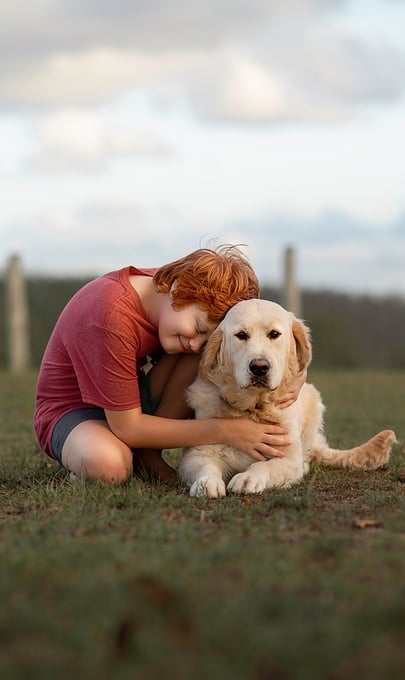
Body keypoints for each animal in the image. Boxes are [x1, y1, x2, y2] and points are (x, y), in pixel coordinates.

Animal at [178, 300, 396, 496]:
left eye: (274, 334)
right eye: (241, 335)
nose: (259, 367)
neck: (254, 407)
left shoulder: (288, 459)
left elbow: (263, 466)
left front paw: (248, 478)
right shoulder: (198, 453)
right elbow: (207, 466)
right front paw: (206, 483)